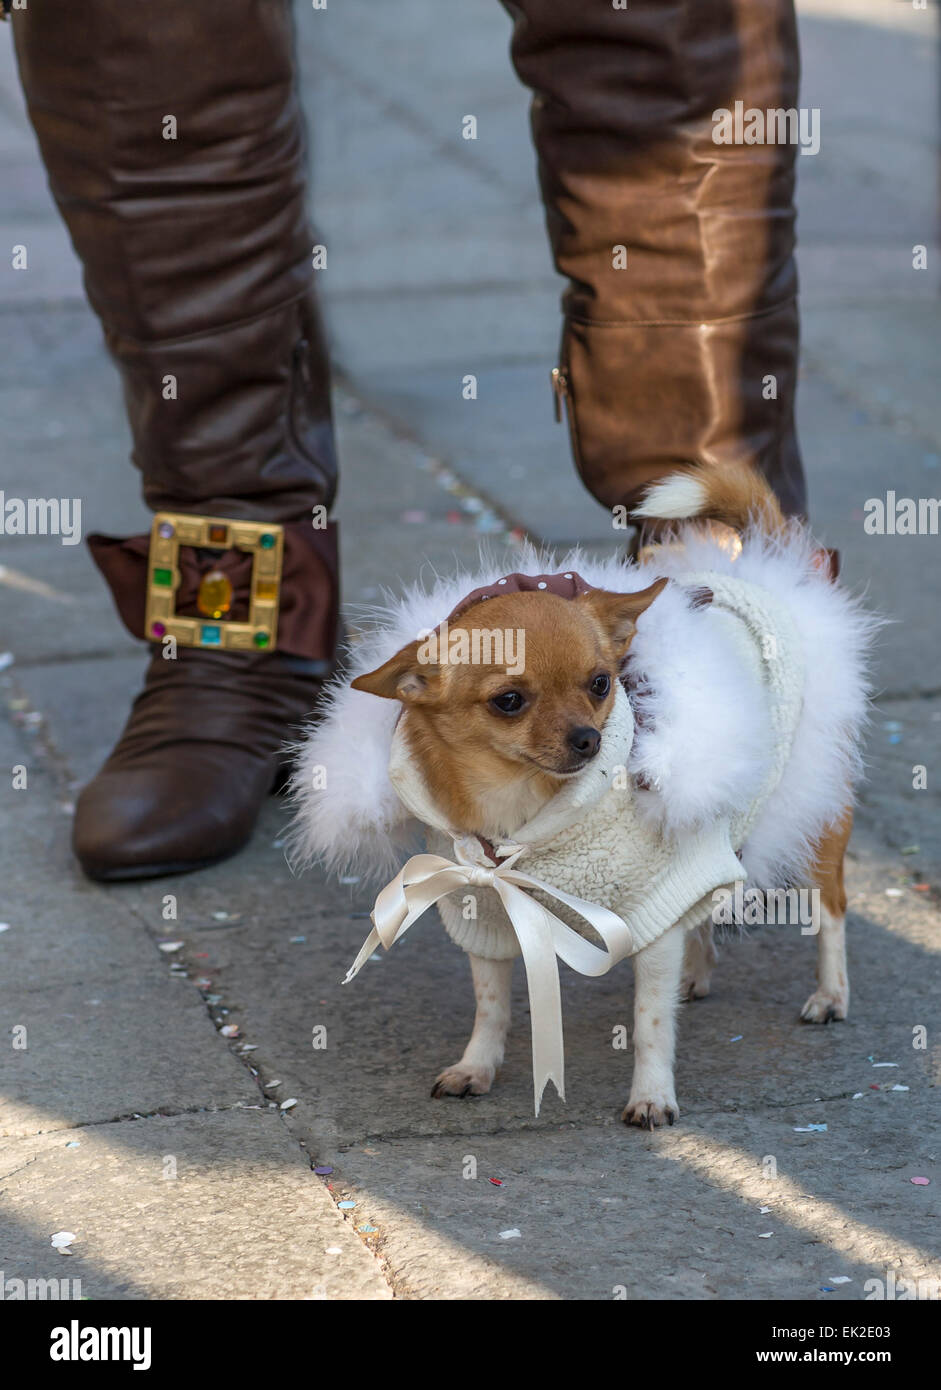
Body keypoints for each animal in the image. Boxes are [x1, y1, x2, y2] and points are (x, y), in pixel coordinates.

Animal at [343, 467, 856, 1128]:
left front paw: (652, 1095)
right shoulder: (486, 908)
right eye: (509, 701)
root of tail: (762, 574)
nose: (588, 739)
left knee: (832, 910)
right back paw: (698, 972)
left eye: (601, 683)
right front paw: (476, 1066)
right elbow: (491, 1004)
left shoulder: (653, 909)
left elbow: (650, 1022)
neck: (519, 807)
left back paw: (831, 994)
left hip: (817, 817)